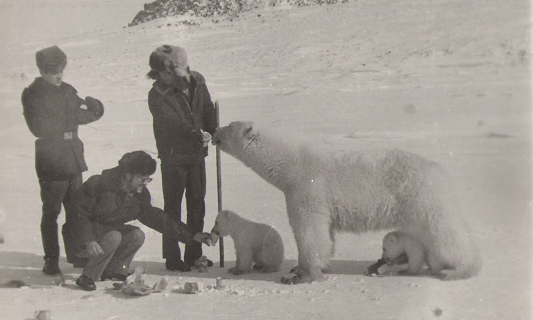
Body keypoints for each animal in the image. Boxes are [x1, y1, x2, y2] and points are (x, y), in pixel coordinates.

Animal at [212, 121, 482, 284]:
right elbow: (326, 236)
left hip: (420, 197)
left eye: (229, 126)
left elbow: (309, 231)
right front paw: (299, 269)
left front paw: (303, 275)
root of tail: (440, 171)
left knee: (445, 232)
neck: (291, 165)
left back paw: (457, 270)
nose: (213, 132)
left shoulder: (308, 190)